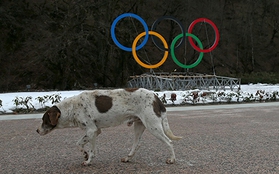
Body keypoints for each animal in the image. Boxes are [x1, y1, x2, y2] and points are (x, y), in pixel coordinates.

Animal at [36, 87, 183, 165]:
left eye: (44, 120)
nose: (37, 131)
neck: (72, 108)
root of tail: (155, 96)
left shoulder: (91, 130)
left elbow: (85, 146)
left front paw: (87, 159)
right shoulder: (95, 132)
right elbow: (85, 147)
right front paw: (86, 155)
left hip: (153, 127)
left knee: (169, 142)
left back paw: (172, 159)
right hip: (139, 126)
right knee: (136, 144)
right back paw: (127, 157)